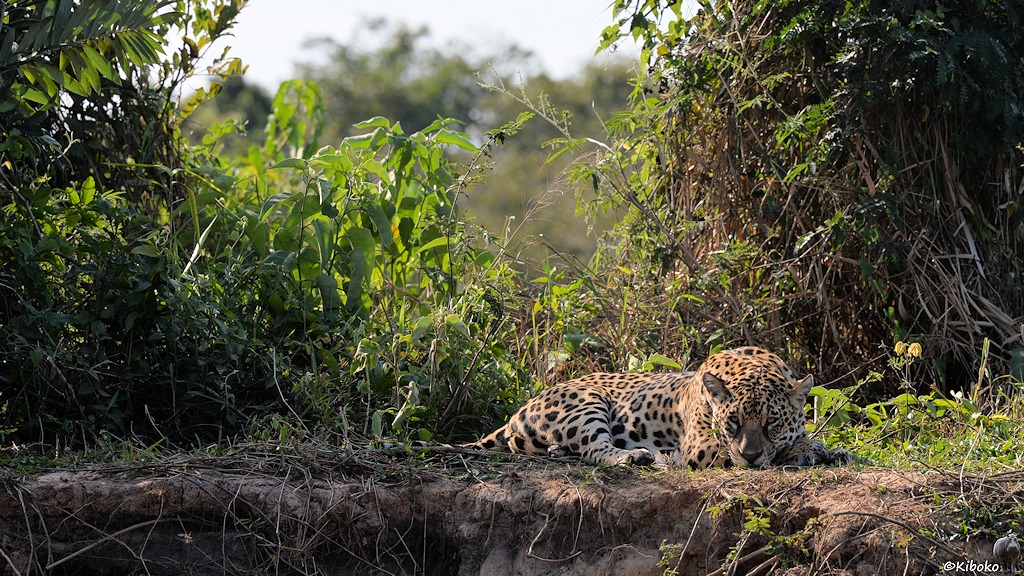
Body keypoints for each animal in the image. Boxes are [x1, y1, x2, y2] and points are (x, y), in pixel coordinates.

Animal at [465, 346, 852, 469]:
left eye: (772, 423)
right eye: (733, 423)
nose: (750, 455)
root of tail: (517, 411)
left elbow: (800, 440)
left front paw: (826, 450)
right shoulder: (702, 446)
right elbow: (772, 453)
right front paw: (803, 453)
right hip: (586, 401)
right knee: (593, 449)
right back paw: (639, 456)